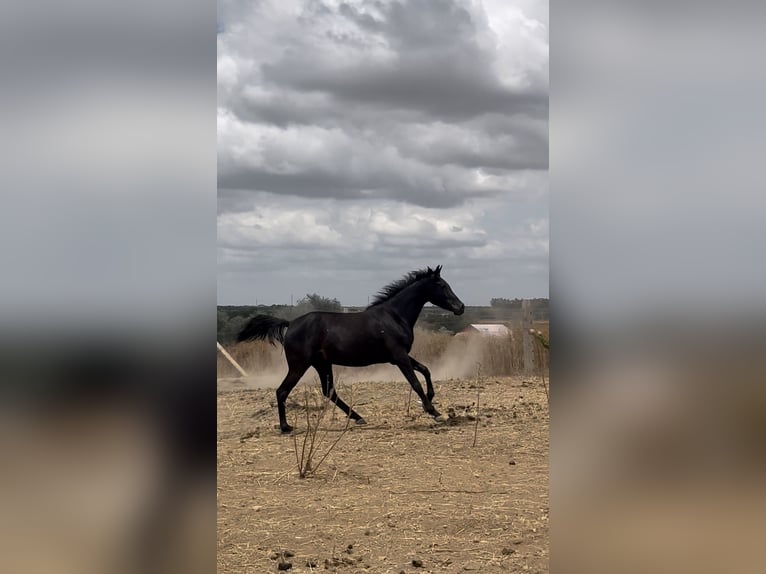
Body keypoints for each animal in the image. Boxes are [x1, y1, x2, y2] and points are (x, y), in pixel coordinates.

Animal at [240, 268, 464, 434]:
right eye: (442, 285)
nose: (460, 307)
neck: (394, 316)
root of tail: (291, 323)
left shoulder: (398, 356)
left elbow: (426, 370)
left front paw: (430, 400)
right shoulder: (399, 357)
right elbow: (415, 382)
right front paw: (433, 411)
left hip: (322, 364)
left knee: (329, 391)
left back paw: (358, 418)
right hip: (300, 365)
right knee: (282, 391)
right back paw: (286, 427)